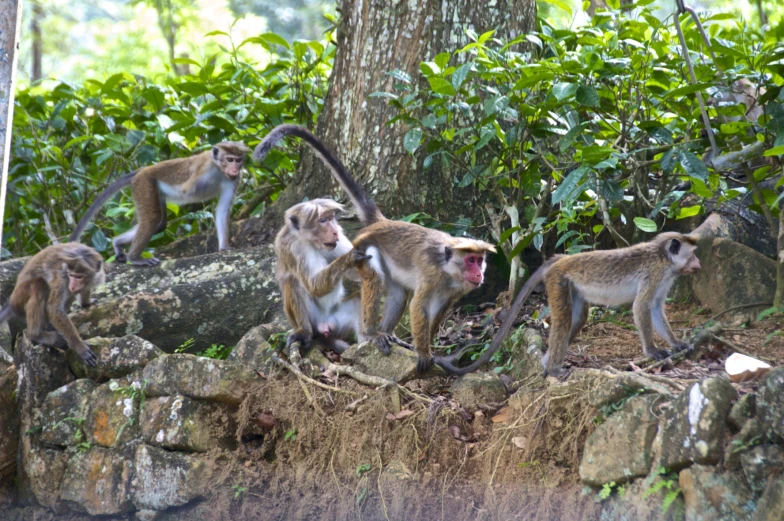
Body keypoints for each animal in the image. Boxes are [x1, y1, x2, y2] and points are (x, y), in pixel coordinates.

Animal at [70, 141, 250, 266]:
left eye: (238, 160)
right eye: (230, 159)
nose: (235, 169)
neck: (219, 170)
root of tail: (140, 171)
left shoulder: (234, 180)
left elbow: (222, 209)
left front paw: (224, 248)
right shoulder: (203, 169)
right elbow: (187, 191)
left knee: (160, 224)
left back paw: (118, 242)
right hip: (145, 184)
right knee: (153, 218)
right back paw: (135, 258)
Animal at [274, 198, 372, 354]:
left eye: (331, 218)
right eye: (323, 220)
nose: (334, 231)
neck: (311, 241)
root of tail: (324, 325)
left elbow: (355, 274)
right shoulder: (291, 246)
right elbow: (314, 286)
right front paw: (349, 258)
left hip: (337, 321)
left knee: (357, 301)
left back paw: (366, 343)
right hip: (314, 321)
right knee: (293, 281)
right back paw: (304, 332)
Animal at [438, 233, 700, 378]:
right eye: (692, 254)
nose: (698, 264)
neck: (664, 257)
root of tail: (561, 260)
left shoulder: (665, 278)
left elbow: (654, 307)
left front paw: (677, 343)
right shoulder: (656, 273)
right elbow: (642, 307)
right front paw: (653, 351)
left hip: (571, 286)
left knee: (577, 318)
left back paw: (547, 363)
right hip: (558, 280)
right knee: (563, 319)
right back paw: (554, 368)